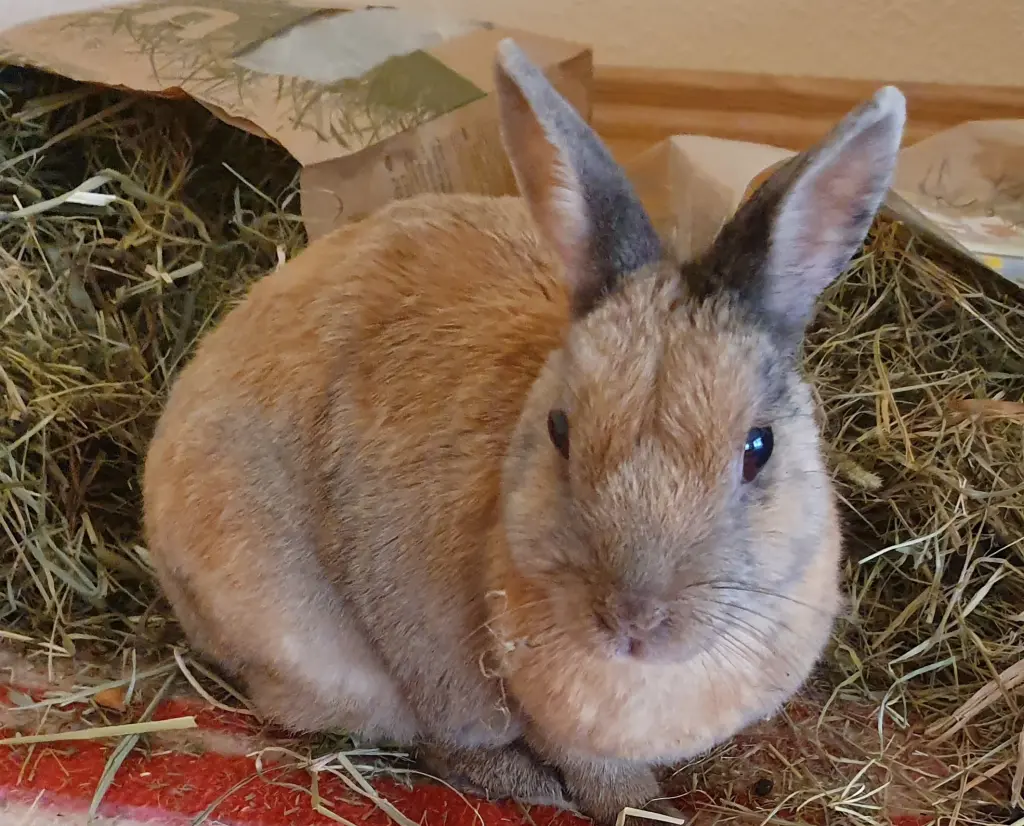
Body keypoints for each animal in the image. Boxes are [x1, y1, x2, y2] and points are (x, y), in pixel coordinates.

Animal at [142, 37, 906, 826]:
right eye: (560, 430)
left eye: (760, 448)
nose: (633, 618)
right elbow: (585, 769)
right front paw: (635, 805)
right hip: (328, 655)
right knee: (420, 735)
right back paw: (528, 786)